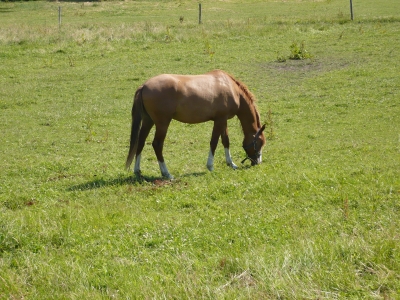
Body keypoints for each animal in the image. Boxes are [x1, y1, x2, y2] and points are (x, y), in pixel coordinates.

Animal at [126, 69, 266, 179]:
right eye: (260, 142)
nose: (258, 162)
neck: (231, 88)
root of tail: (144, 86)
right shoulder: (220, 120)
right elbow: (214, 142)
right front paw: (210, 166)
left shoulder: (223, 120)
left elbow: (225, 141)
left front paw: (231, 164)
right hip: (162, 123)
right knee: (157, 144)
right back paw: (166, 173)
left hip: (148, 121)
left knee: (141, 141)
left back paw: (137, 171)